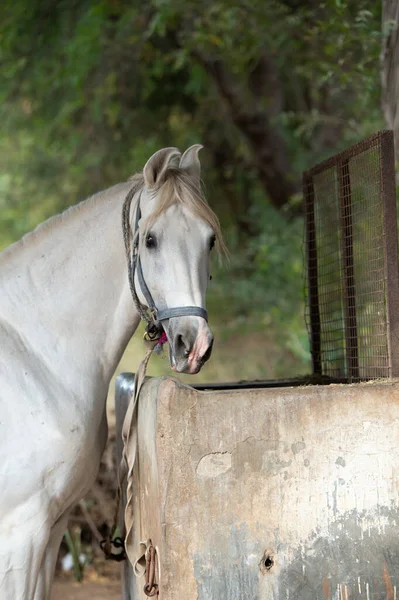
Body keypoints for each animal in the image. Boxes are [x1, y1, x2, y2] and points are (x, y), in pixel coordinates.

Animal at [0, 146, 225, 600]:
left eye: (209, 239)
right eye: (150, 240)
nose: (195, 345)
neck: (34, 354)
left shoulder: (51, 529)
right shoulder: (21, 533)